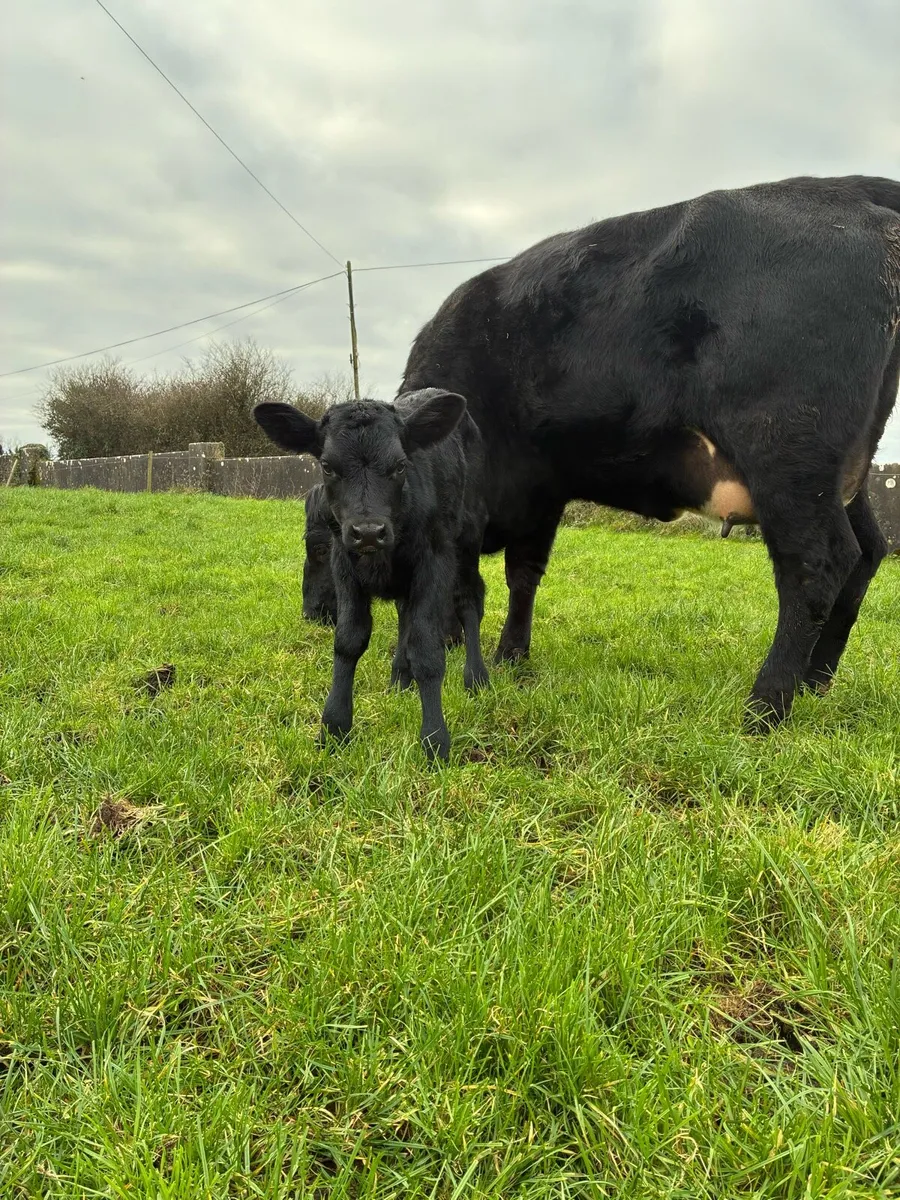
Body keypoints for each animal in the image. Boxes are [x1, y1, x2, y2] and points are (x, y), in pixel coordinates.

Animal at [255, 389, 489, 760]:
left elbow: (427, 649)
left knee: (468, 601)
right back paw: (399, 679)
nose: (367, 532)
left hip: (469, 537)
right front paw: (334, 728)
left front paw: (435, 740)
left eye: (400, 465)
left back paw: (476, 678)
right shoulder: (345, 563)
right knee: (405, 612)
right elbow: (349, 639)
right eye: (327, 466)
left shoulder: (435, 558)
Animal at [392, 175, 900, 729]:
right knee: (868, 551)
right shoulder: (541, 489)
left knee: (817, 563)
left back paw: (764, 706)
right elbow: (522, 573)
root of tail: (842, 189)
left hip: (787, 454)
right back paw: (814, 683)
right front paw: (511, 655)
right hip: (843, 474)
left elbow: (465, 574)